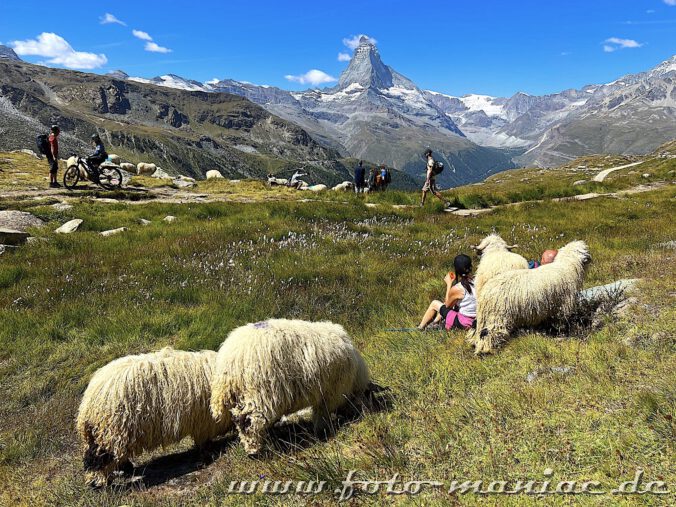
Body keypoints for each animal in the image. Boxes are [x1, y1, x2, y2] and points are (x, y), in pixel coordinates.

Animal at [77, 348, 232, 486]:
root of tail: (88, 401)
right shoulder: (203, 423)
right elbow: (204, 443)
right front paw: (208, 455)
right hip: (111, 432)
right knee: (98, 458)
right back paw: (98, 482)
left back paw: (126, 469)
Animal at [210, 318, 370, 456]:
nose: (360, 414)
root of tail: (230, 360)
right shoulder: (331, 392)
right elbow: (321, 413)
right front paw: (322, 430)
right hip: (259, 394)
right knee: (250, 421)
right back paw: (255, 450)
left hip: (241, 396)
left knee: (239, 418)